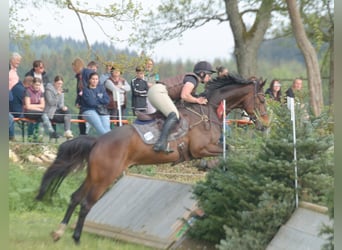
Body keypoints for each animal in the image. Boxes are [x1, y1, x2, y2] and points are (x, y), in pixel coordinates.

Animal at [36, 76, 268, 244]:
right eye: (263, 100)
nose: (265, 125)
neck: (208, 109)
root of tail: (98, 141)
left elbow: (225, 151)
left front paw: (209, 168)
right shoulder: (202, 148)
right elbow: (229, 149)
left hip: (94, 175)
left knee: (75, 197)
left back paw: (59, 232)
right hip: (106, 177)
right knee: (86, 204)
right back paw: (76, 238)